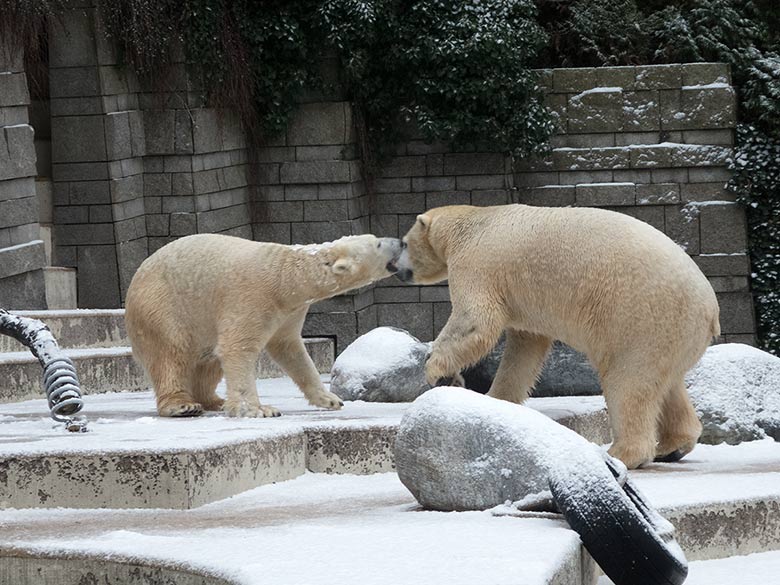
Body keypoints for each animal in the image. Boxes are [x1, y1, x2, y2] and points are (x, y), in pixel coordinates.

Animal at [126, 230, 402, 418]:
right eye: (377, 243)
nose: (400, 241)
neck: (284, 278)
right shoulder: (250, 298)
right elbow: (237, 347)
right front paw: (260, 409)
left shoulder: (289, 311)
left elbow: (291, 350)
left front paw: (330, 399)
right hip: (162, 309)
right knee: (171, 356)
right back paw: (183, 405)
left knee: (208, 363)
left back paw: (215, 401)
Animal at [400, 203, 724, 468]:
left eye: (403, 243)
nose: (396, 267)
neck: (472, 223)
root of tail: (710, 308)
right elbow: (525, 348)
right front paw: (497, 400)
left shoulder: (477, 265)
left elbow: (476, 321)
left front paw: (436, 370)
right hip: (673, 332)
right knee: (668, 383)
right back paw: (672, 447)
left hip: (641, 318)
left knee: (628, 382)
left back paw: (622, 454)